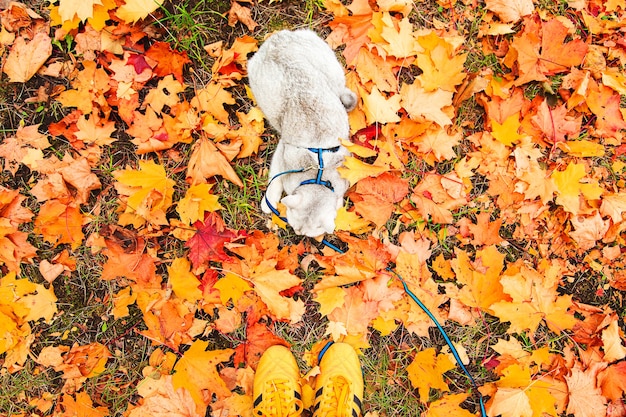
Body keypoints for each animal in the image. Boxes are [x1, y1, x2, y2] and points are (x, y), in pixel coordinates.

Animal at [247, 28, 356, 237]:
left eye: (303, 233)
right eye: (296, 228)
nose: (297, 235)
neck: (319, 174)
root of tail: (277, 38)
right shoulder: (283, 150)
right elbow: (275, 179)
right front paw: (269, 201)